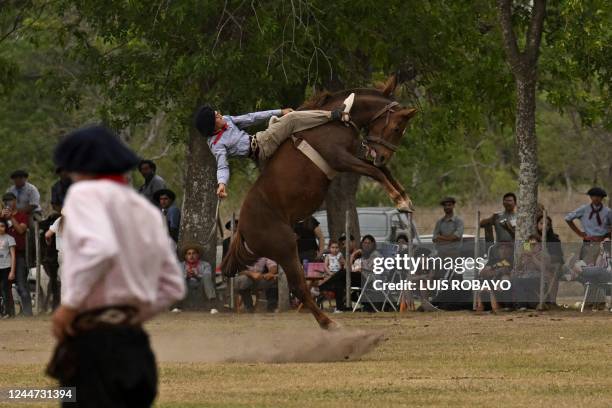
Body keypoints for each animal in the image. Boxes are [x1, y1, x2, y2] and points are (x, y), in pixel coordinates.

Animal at [222, 76, 418, 330]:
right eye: (396, 128)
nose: (383, 155)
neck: (338, 120)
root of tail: (243, 229)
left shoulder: (354, 156)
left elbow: (382, 170)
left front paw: (405, 198)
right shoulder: (340, 158)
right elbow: (376, 171)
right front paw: (400, 200)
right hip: (286, 249)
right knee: (300, 288)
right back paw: (328, 323)